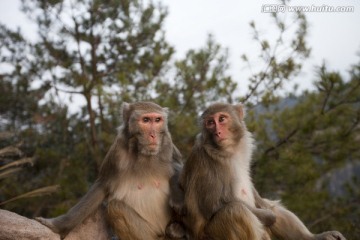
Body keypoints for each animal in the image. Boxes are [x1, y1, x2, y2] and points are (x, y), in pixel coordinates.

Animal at [36, 101, 186, 240]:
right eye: (146, 120)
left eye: (157, 120)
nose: (153, 135)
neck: (143, 154)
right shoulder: (117, 153)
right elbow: (102, 187)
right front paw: (58, 225)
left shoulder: (167, 145)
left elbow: (180, 168)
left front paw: (177, 196)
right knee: (115, 208)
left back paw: (177, 230)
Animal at [176, 102, 346, 240]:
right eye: (210, 123)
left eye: (222, 119)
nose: (217, 132)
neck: (227, 151)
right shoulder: (207, 163)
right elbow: (213, 205)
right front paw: (269, 217)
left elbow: (262, 202)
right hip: (212, 235)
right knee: (235, 211)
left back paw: (313, 237)